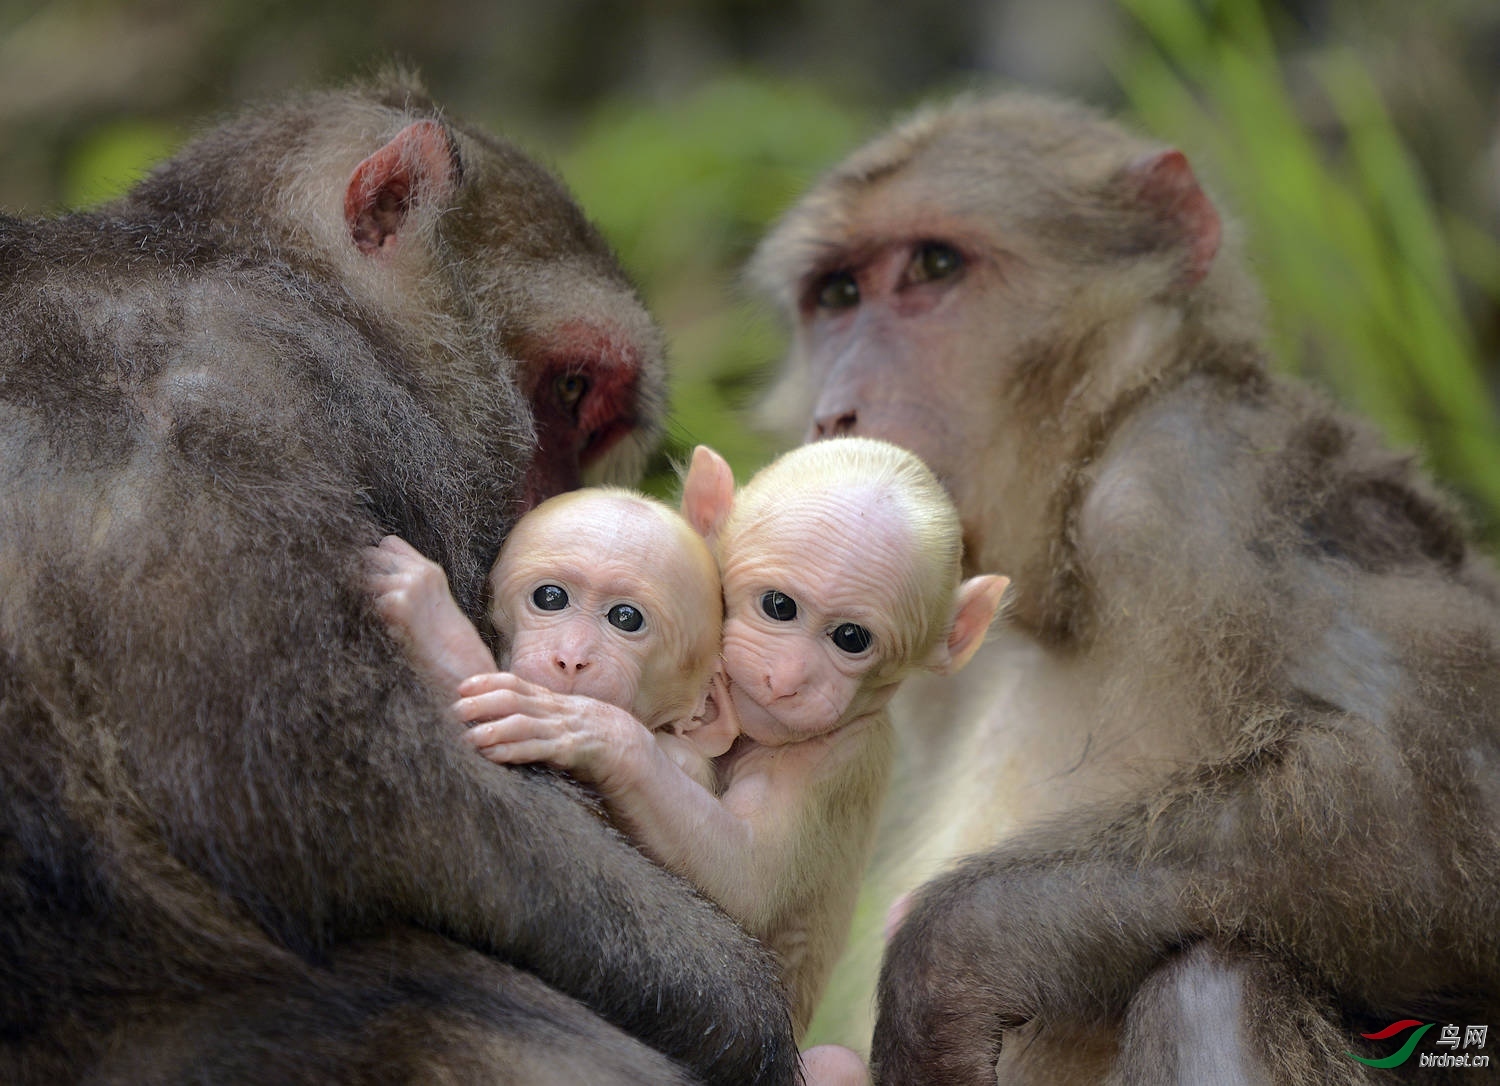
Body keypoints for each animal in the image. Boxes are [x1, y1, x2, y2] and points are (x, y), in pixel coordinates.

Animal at [0, 78, 798, 1086]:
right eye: (571, 389)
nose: (575, 522)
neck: (246, 265)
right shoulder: (252, 393)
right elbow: (303, 782)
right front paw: (737, 998)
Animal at [756, 93, 1500, 1086]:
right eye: (837, 296)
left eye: (934, 267)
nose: (835, 413)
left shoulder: (1195, 471)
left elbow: (1435, 796)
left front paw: (943, 963)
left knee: (1213, 982)